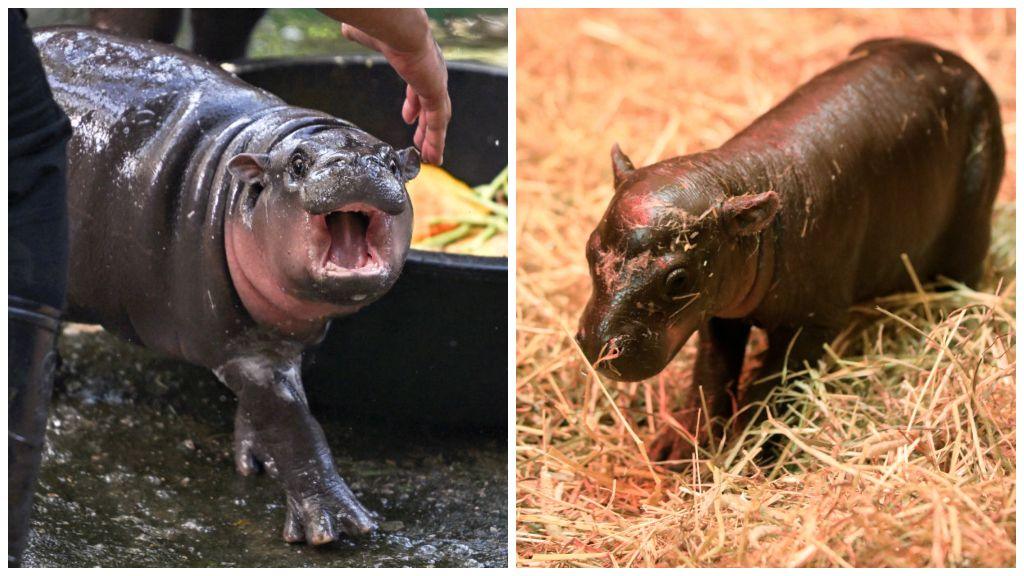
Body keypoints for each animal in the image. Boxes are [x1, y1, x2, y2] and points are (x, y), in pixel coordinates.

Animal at [35, 28, 419, 541]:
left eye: (392, 163)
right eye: (298, 164)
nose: (356, 166)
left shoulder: (284, 342)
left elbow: (270, 409)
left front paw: (254, 461)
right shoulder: (243, 352)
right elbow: (294, 426)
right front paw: (333, 526)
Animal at [581, 39, 1003, 461]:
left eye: (679, 278)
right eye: (589, 248)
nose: (598, 345)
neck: (738, 181)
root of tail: (954, 59)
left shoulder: (814, 322)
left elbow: (772, 386)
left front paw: (751, 453)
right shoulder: (720, 311)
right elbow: (710, 375)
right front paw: (674, 451)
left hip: (970, 229)